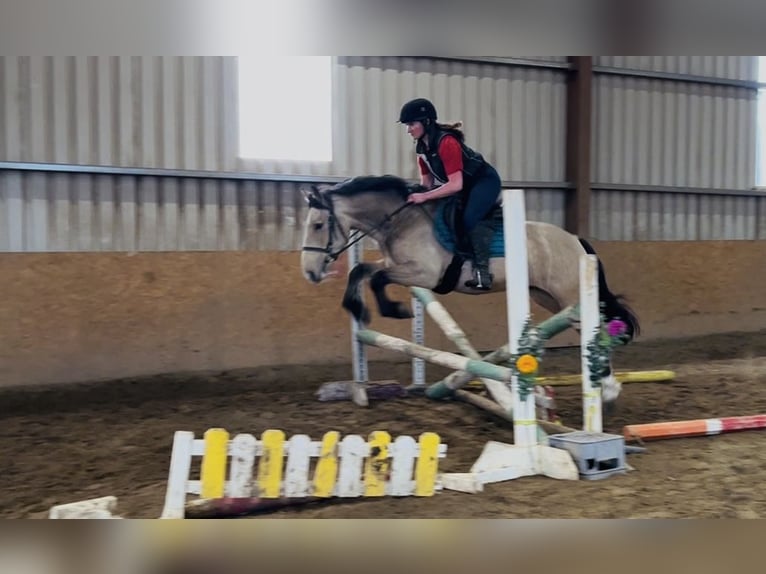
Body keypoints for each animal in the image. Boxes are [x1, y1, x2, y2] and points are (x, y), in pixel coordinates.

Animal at [300, 174, 639, 404]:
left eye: (318, 225)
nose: (310, 272)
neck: (402, 220)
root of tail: (575, 240)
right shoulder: (398, 266)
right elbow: (361, 271)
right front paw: (357, 308)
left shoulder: (423, 275)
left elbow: (378, 279)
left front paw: (395, 310)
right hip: (548, 298)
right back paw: (605, 387)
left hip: (568, 295)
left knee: (597, 330)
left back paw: (607, 390)